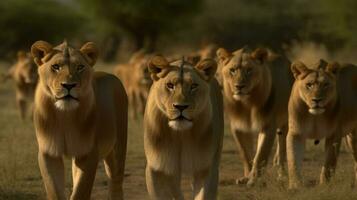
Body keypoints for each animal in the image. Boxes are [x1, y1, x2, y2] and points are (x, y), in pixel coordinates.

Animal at [31, 39, 128, 199]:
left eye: (80, 67)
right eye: (55, 67)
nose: (69, 85)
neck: (65, 115)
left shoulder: (88, 152)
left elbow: (81, 190)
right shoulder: (48, 152)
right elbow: (54, 190)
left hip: (118, 147)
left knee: (116, 182)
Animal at [143, 55, 222, 200]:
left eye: (193, 86)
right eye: (170, 85)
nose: (180, 107)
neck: (180, 134)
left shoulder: (206, 167)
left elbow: (203, 194)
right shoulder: (156, 167)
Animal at [216, 47, 294, 186]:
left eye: (249, 70)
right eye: (232, 70)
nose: (239, 86)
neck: (247, 104)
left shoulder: (268, 126)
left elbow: (261, 154)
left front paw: (253, 180)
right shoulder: (238, 128)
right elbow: (246, 154)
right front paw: (246, 176)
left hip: (284, 123)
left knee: (282, 150)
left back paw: (281, 176)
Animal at [286, 59, 356, 189]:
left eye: (326, 85)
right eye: (309, 85)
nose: (317, 100)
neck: (315, 116)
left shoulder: (334, 135)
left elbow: (329, 163)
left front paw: (324, 185)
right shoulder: (296, 133)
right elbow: (293, 159)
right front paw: (295, 185)